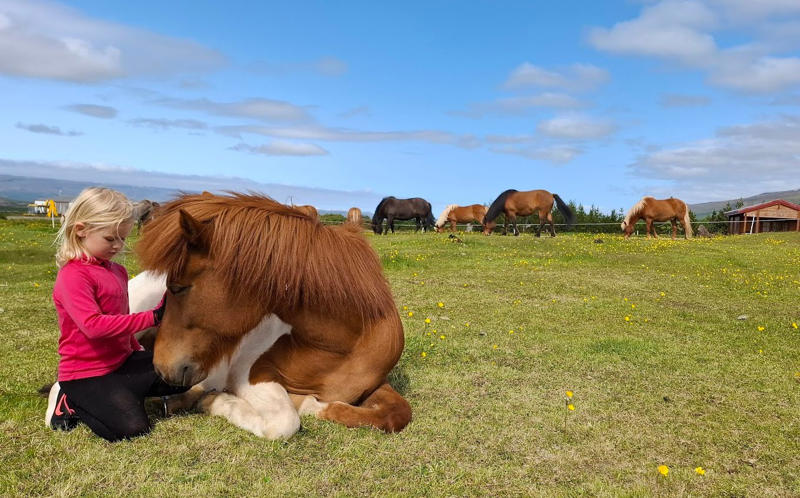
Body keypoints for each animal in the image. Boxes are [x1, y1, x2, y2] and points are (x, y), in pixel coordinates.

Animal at [134, 192, 411, 438]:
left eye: (178, 288)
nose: (161, 367)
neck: (340, 348)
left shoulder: (377, 385)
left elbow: (396, 414)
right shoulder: (248, 375)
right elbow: (284, 422)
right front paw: (215, 401)